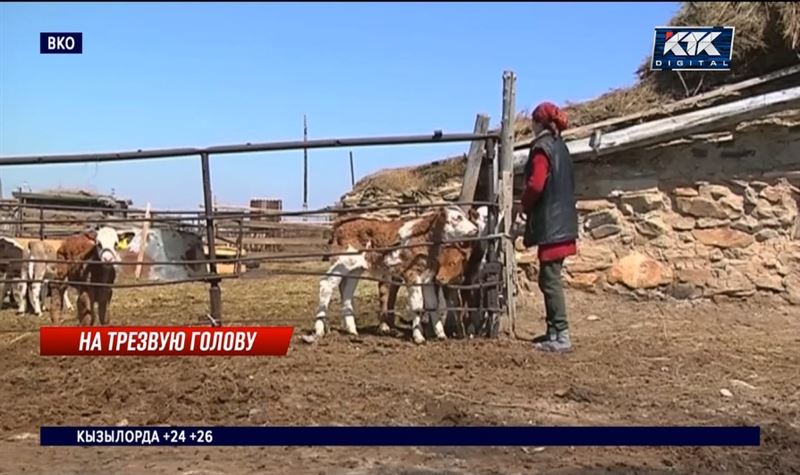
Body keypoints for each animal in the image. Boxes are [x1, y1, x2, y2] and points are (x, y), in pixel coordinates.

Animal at [314, 206, 478, 344]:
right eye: (457, 218)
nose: (475, 229)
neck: (424, 236)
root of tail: (341, 224)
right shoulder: (412, 274)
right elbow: (417, 306)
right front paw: (418, 337)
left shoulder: (427, 277)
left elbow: (432, 305)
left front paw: (441, 334)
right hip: (341, 261)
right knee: (326, 285)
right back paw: (319, 329)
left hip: (355, 268)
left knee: (347, 291)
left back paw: (352, 331)